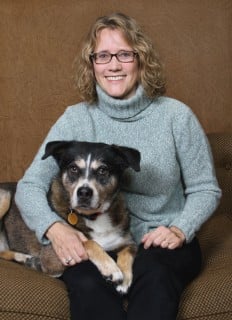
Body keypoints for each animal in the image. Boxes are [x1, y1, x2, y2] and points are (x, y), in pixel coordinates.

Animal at [0, 141, 140, 294]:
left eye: (103, 170)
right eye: (73, 168)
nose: (84, 192)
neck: (92, 217)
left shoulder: (128, 242)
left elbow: (129, 252)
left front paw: (125, 279)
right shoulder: (52, 258)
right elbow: (88, 242)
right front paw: (112, 269)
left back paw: (24, 259)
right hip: (5, 195)